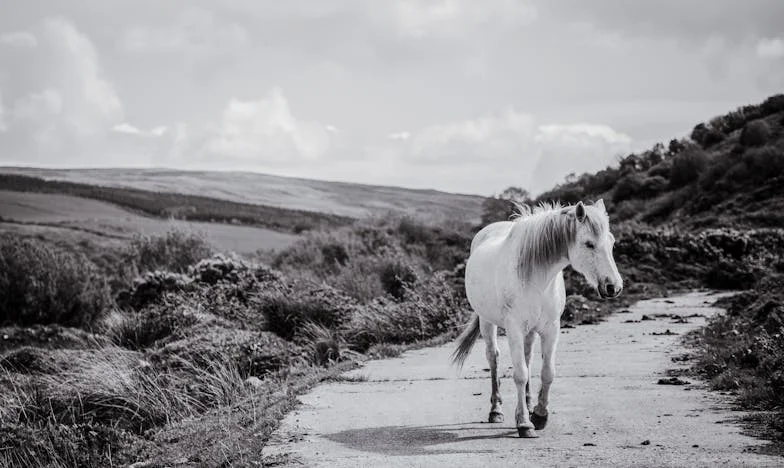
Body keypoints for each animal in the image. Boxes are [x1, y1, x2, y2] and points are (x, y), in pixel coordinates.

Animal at [450, 198, 620, 438]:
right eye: (589, 244)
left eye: (612, 242)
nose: (613, 287)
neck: (537, 277)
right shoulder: (514, 329)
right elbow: (520, 373)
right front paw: (524, 424)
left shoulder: (551, 328)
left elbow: (546, 372)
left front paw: (539, 415)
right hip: (487, 322)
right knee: (494, 358)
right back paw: (496, 411)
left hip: (530, 330)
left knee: (528, 358)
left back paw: (528, 405)